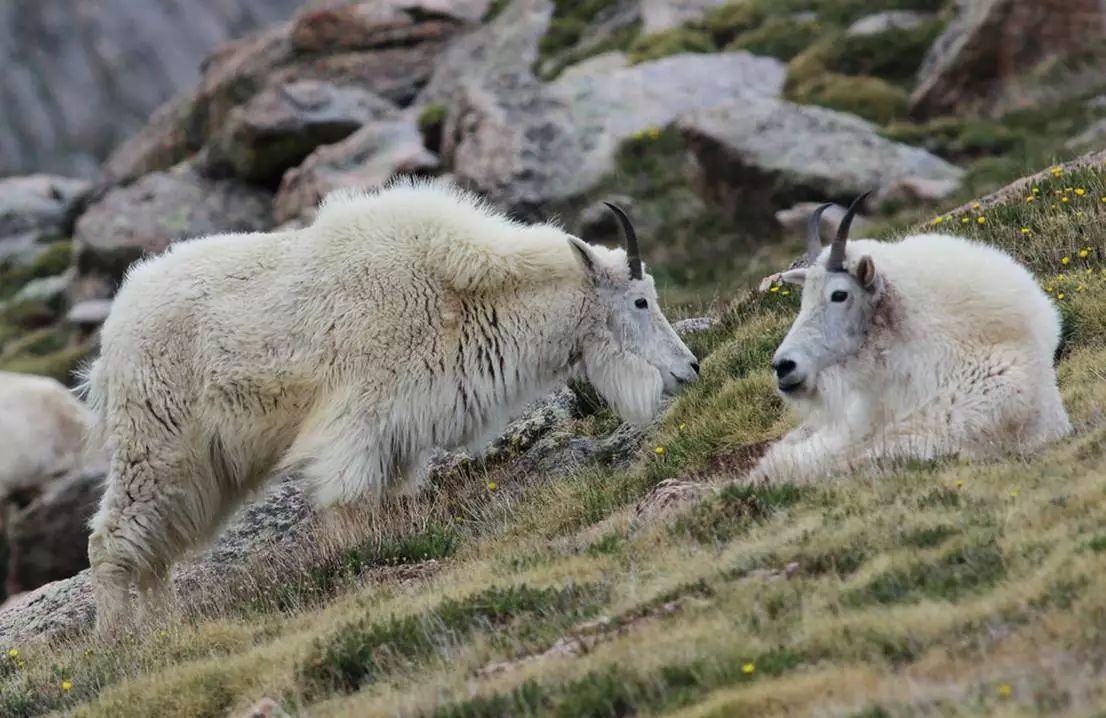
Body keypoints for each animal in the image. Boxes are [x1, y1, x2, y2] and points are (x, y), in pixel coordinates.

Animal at [84, 179, 698, 632]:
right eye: (640, 301)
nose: (689, 369)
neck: (455, 295)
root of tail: (114, 332)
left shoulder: (401, 435)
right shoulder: (357, 419)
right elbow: (349, 507)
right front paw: (352, 570)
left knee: (156, 550)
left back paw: (166, 626)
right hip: (157, 441)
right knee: (111, 540)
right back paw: (121, 640)